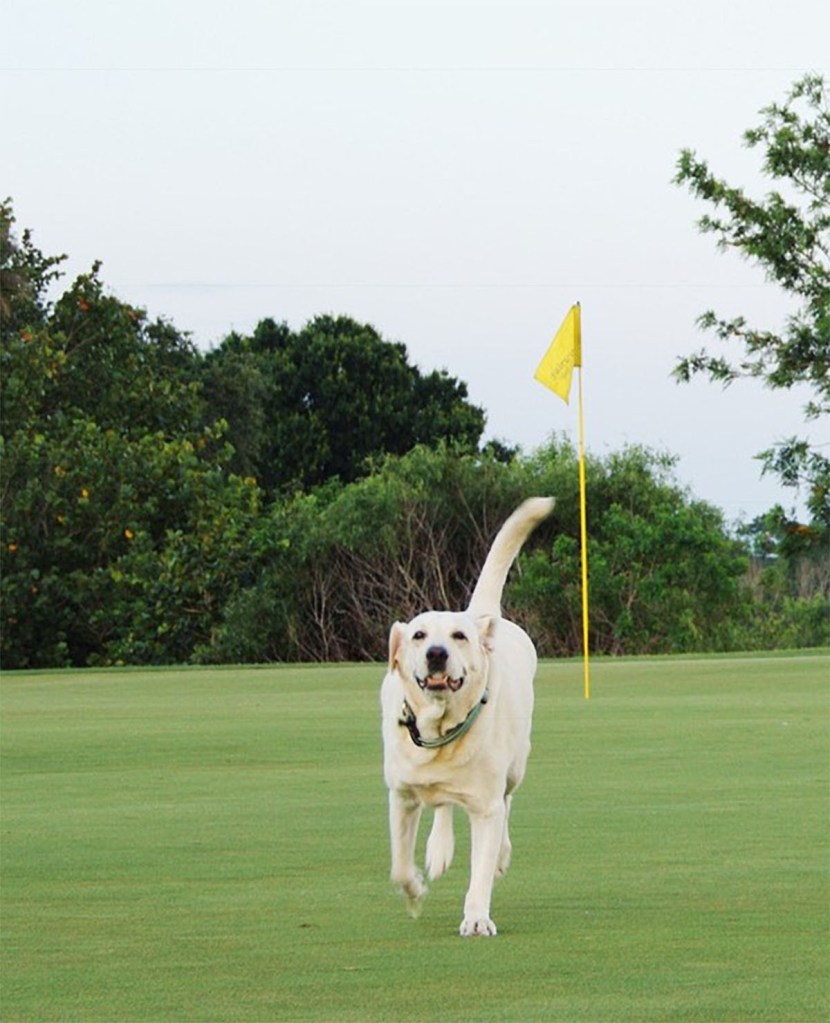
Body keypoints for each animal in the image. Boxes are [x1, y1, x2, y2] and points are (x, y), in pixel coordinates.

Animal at [380, 495, 552, 937]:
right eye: (419, 635)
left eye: (458, 637)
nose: (436, 654)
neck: (440, 730)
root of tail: (481, 616)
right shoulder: (402, 796)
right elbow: (399, 866)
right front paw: (415, 892)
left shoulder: (486, 806)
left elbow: (482, 868)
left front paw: (476, 917)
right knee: (442, 804)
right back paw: (438, 849)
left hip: (515, 766)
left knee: (508, 801)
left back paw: (501, 855)